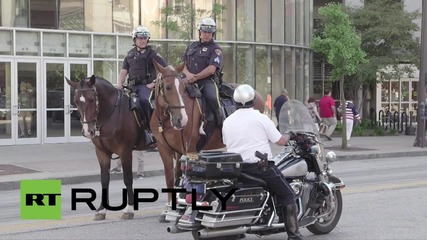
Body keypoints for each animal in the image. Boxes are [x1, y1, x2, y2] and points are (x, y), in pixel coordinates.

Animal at [65, 76, 149, 220]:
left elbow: (128, 179)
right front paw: (101, 210)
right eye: (76, 101)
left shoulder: (125, 151)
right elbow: (104, 180)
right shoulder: (101, 153)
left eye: (92, 99)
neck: (111, 114)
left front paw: (129, 209)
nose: (87, 131)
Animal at [150, 62, 264, 214]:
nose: (182, 119)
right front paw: (169, 208)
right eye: (168, 87)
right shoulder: (165, 149)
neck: (165, 120)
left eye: (182, 88)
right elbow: (171, 178)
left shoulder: (189, 148)